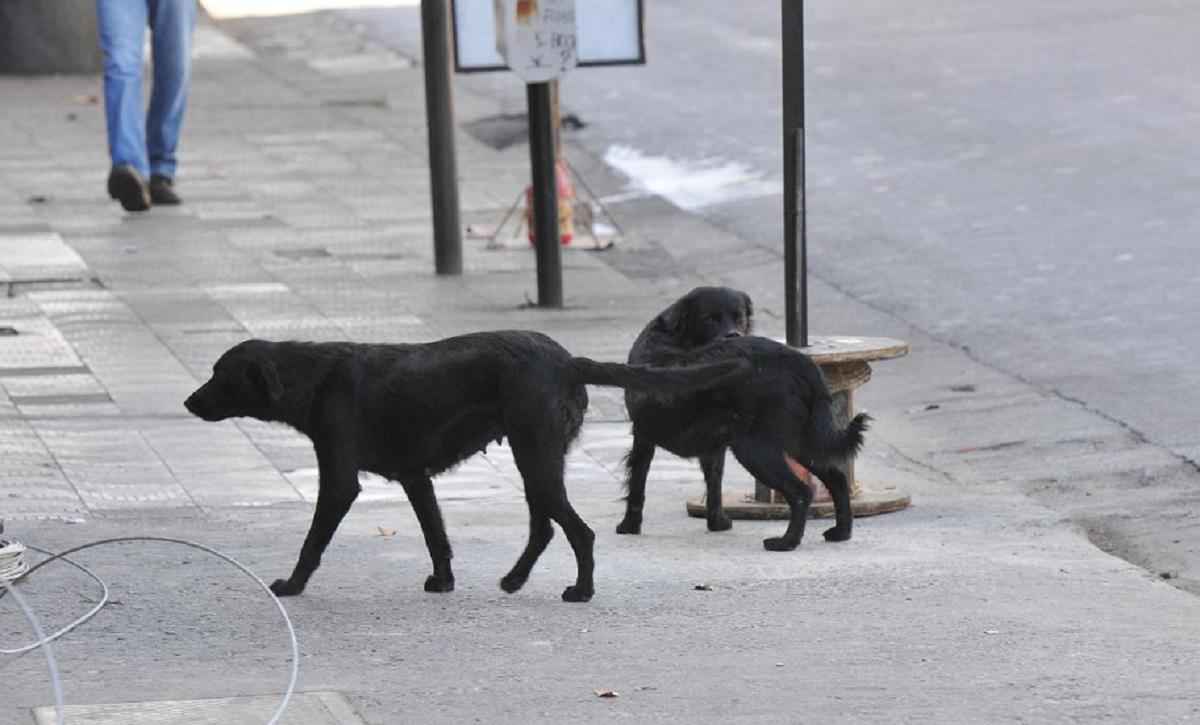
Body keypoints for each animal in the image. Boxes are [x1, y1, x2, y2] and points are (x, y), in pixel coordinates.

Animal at [182, 331, 744, 602]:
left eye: (220, 375)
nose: (188, 402)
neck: (316, 376)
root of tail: (568, 361)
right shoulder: (415, 479)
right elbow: (437, 537)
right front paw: (444, 580)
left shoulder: (340, 481)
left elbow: (314, 540)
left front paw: (292, 586)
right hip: (537, 460)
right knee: (545, 527)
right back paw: (515, 580)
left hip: (535, 457)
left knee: (577, 531)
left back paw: (581, 591)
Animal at [614, 291, 868, 552]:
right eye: (709, 319)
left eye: (740, 317)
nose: (734, 333)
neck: (673, 337)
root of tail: (798, 360)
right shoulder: (713, 446)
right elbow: (714, 484)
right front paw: (717, 523)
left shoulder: (643, 435)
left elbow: (637, 483)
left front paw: (629, 526)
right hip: (800, 439)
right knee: (836, 478)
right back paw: (841, 532)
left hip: (754, 448)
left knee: (800, 492)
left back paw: (787, 542)